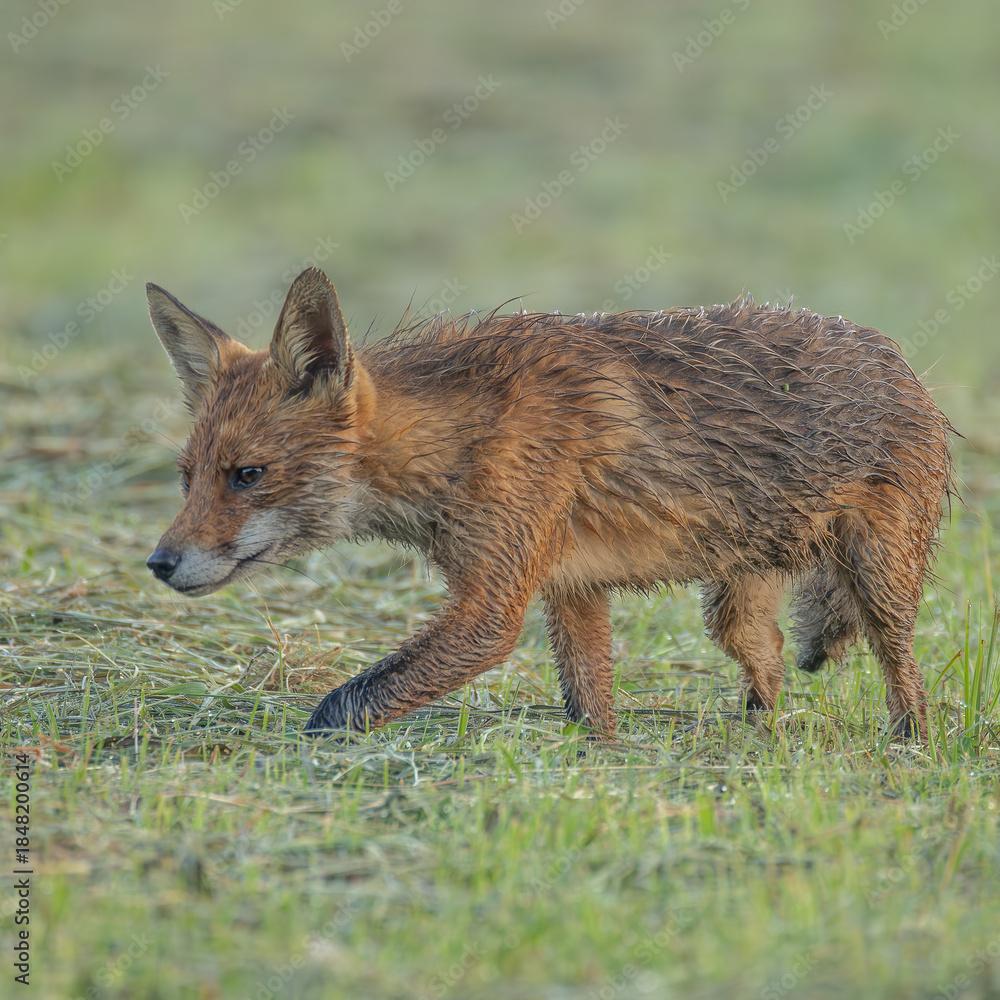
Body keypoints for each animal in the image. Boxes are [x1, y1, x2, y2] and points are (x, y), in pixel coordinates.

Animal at [145, 267, 952, 741]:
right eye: (187, 478)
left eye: (248, 475)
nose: (158, 563)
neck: (458, 437)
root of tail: (899, 359)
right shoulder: (573, 588)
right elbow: (589, 703)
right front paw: (601, 757)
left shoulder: (494, 607)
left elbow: (342, 706)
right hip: (731, 608)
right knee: (775, 661)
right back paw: (753, 734)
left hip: (877, 580)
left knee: (902, 669)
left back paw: (909, 744)